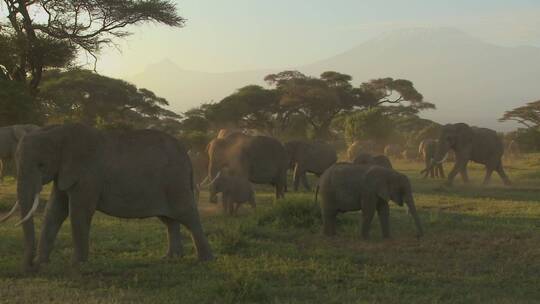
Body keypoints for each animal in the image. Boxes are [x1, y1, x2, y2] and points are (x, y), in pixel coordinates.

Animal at [2, 123, 213, 274]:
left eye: (41, 165)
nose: (29, 267)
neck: (58, 131)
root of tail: (187, 156)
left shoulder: (87, 174)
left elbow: (79, 212)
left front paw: (76, 266)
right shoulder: (64, 172)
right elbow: (54, 212)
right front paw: (42, 264)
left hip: (175, 181)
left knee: (187, 215)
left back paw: (204, 260)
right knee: (169, 220)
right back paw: (170, 259)